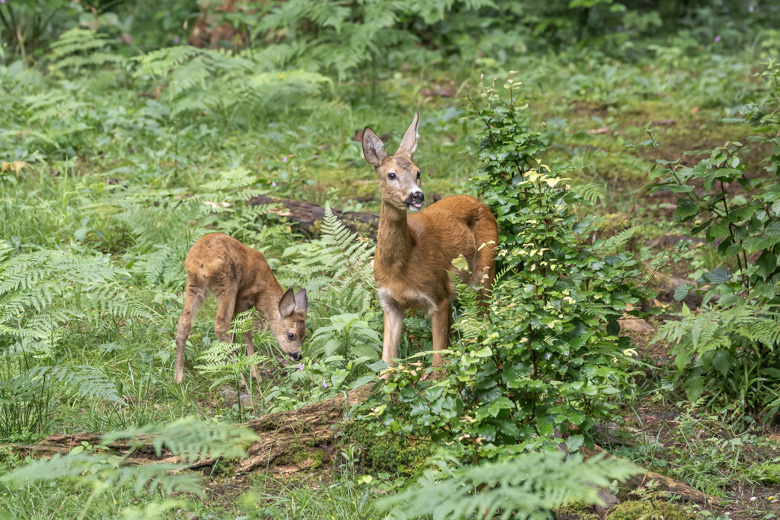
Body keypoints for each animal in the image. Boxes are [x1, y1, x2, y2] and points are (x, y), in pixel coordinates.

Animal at [174, 234, 308, 384]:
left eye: (305, 335)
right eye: (291, 335)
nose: (298, 356)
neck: (264, 291)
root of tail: (200, 261)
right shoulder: (244, 297)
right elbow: (246, 331)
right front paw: (256, 374)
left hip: (194, 285)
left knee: (184, 322)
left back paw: (178, 378)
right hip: (228, 284)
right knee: (221, 325)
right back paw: (242, 380)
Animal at [362, 111, 496, 368]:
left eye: (418, 173)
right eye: (391, 175)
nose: (417, 195)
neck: (400, 267)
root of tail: (481, 202)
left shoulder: (437, 295)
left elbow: (437, 362)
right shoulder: (389, 302)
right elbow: (386, 363)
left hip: (485, 271)